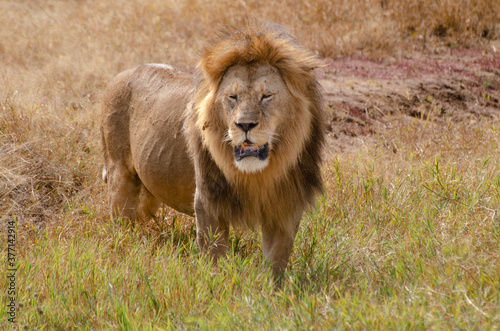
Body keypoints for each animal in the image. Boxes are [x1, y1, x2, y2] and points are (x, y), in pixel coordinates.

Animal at [101, 22, 324, 278]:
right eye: (232, 97)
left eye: (266, 96)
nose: (245, 125)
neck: (258, 175)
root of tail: (119, 75)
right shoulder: (208, 201)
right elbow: (214, 255)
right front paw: (217, 284)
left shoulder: (286, 205)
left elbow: (275, 261)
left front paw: (269, 286)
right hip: (120, 175)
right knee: (120, 223)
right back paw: (124, 250)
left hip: (148, 190)